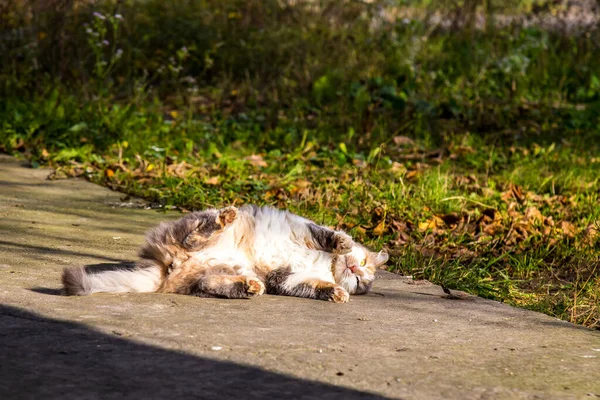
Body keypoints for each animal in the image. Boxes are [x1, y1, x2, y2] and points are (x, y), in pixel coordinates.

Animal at [62, 206, 390, 304]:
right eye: (362, 264)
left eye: (361, 282)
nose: (355, 271)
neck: (326, 266)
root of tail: (167, 266)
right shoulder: (305, 230)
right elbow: (329, 236)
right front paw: (343, 242)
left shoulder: (287, 279)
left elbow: (316, 287)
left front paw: (336, 292)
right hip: (196, 229)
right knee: (194, 235)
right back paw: (224, 218)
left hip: (227, 270)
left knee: (210, 284)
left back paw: (250, 288)